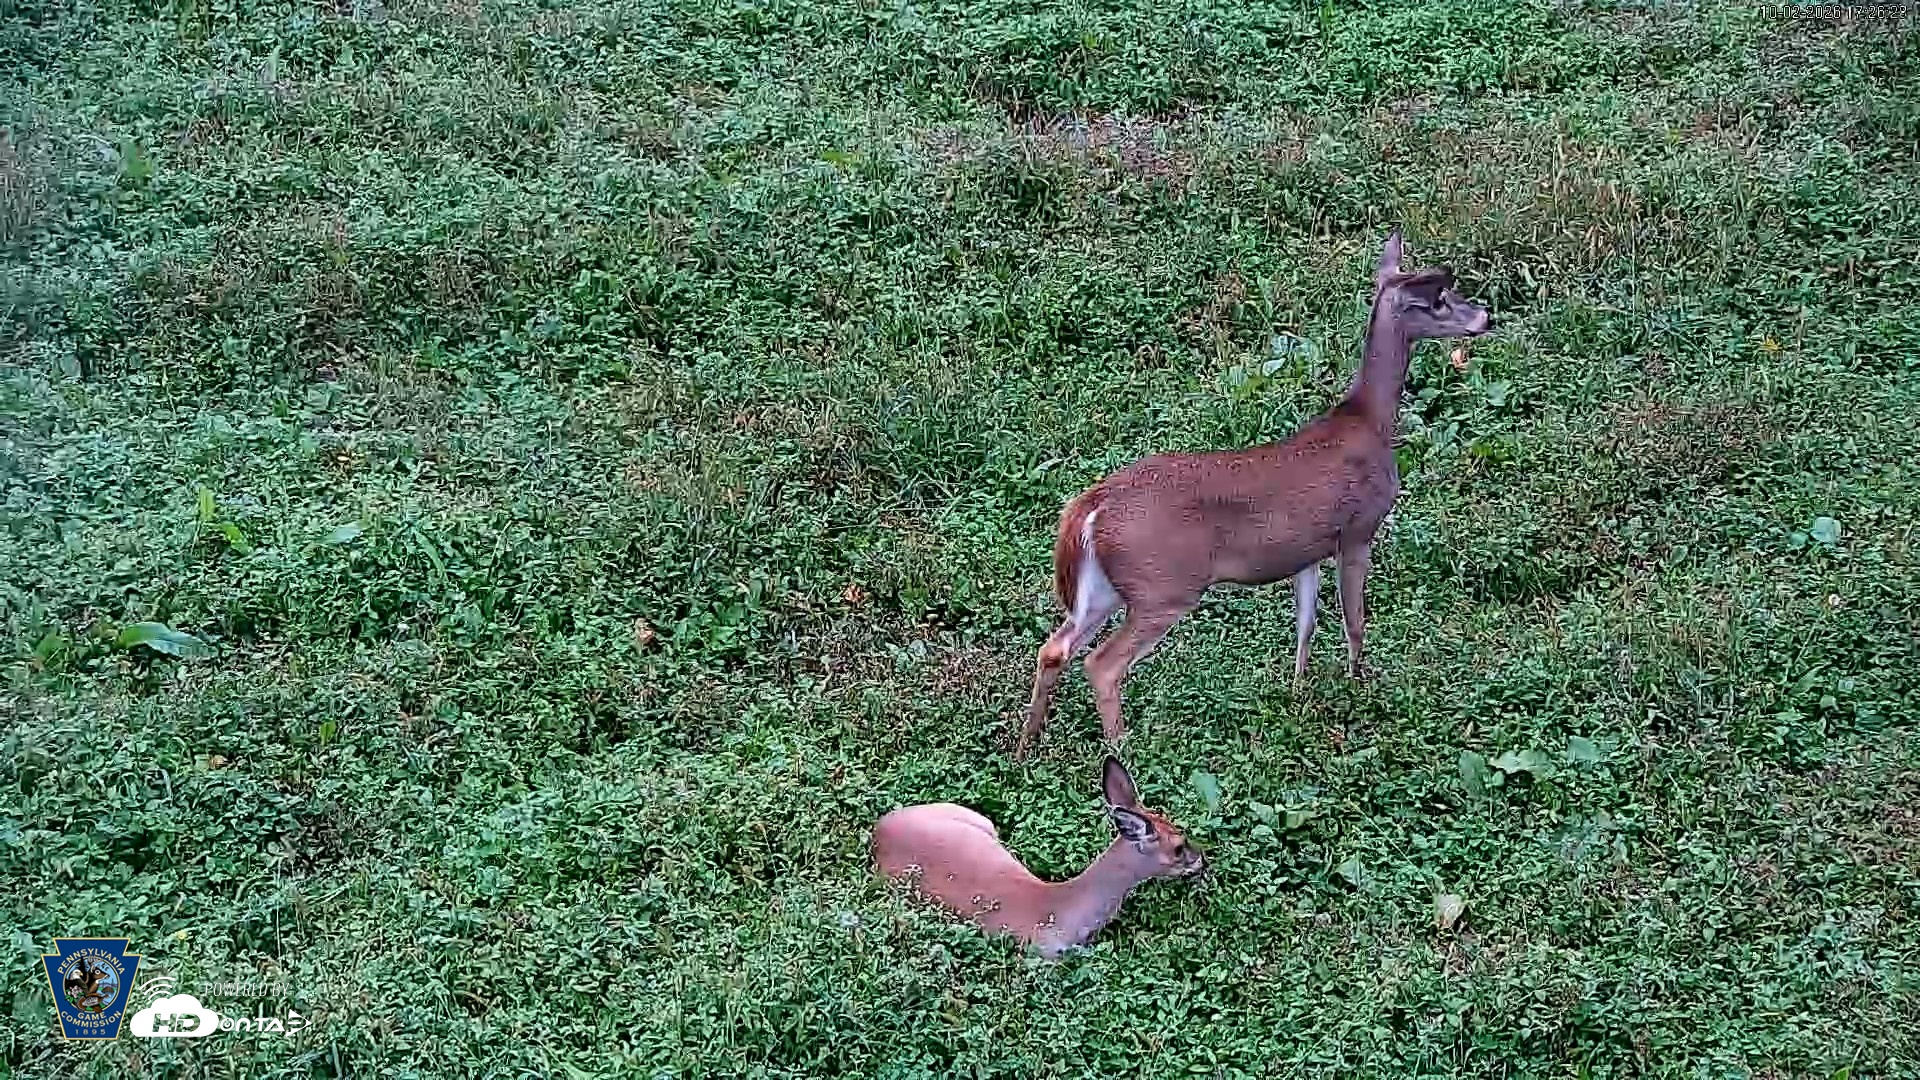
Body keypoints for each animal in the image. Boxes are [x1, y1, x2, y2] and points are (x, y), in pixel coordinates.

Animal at [1016, 232, 1492, 757]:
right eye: (1439, 299)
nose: (1485, 317)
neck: (1371, 423)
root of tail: (1090, 508)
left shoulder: (1308, 549)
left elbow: (1306, 621)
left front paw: (1298, 691)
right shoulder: (1358, 529)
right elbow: (1355, 621)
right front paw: (1358, 686)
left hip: (1105, 586)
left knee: (1054, 648)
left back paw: (1026, 747)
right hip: (1164, 585)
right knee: (1101, 663)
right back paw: (1123, 750)